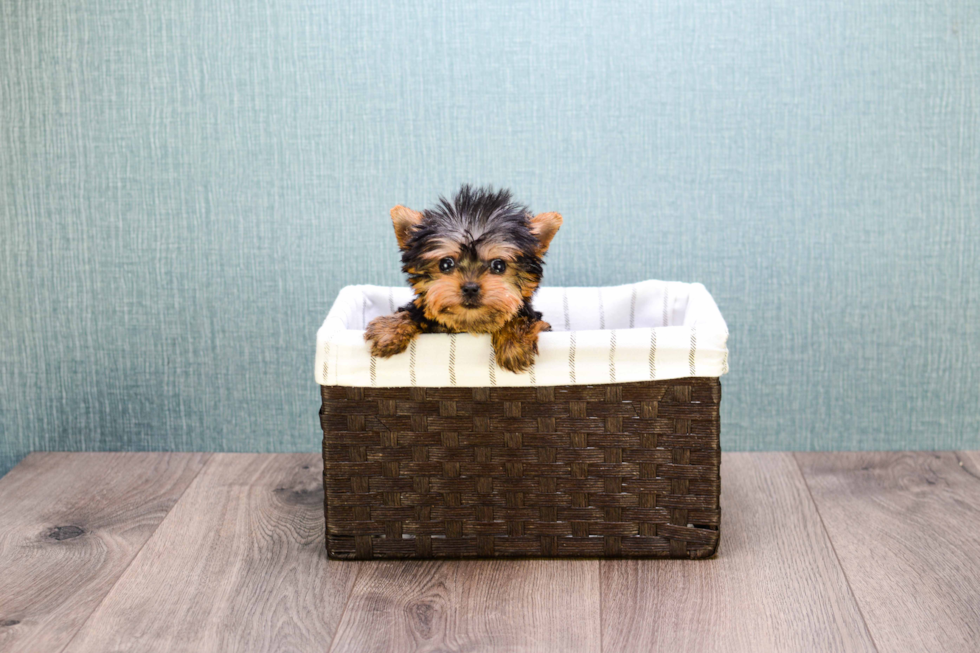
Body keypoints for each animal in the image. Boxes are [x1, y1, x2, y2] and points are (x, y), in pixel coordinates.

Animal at [366, 186, 568, 374]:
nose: (470, 288)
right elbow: (413, 313)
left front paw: (514, 344)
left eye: (499, 265)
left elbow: (520, 318)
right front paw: (389, 329)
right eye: (446, 264)